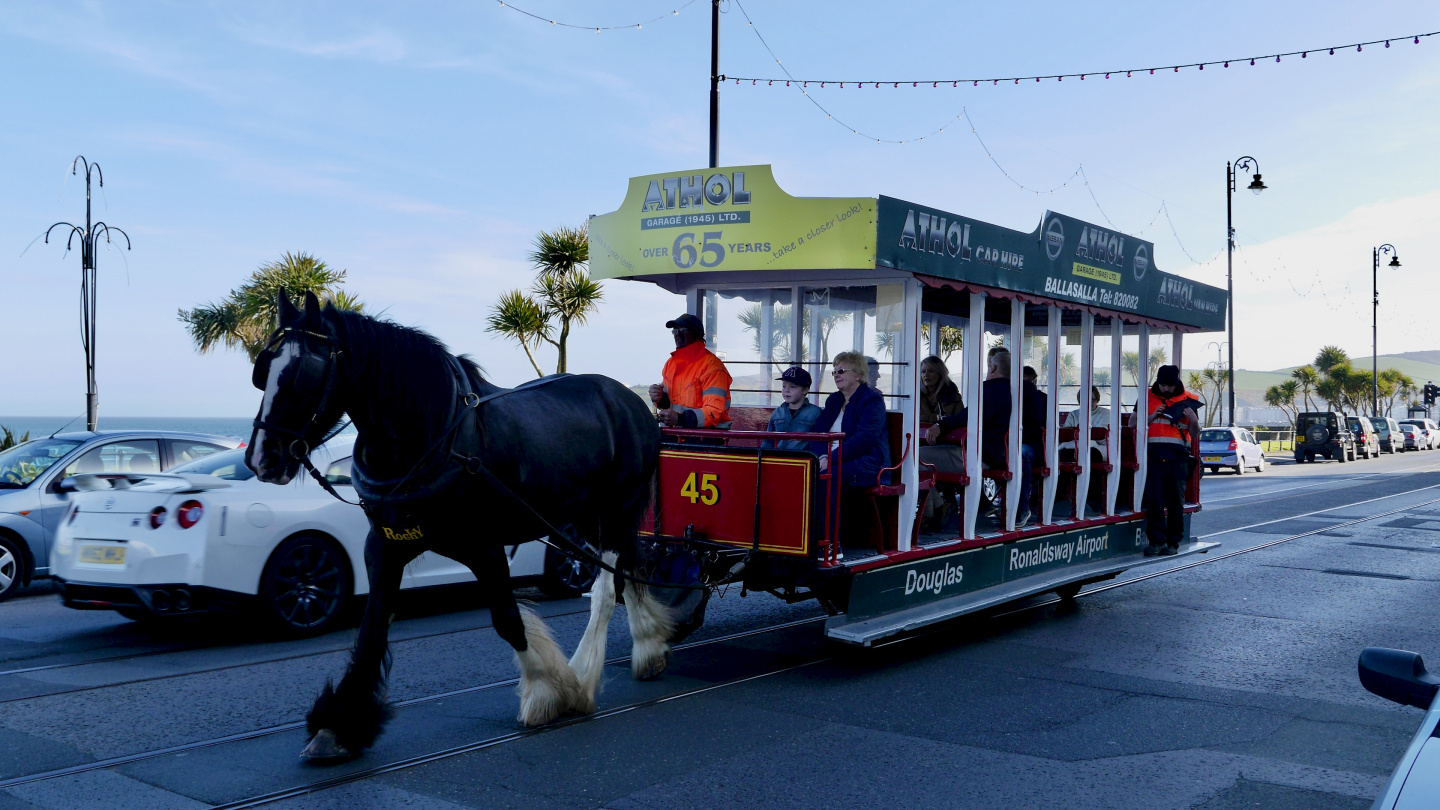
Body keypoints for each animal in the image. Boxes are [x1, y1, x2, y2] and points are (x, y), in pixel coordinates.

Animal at [249, 289, 673, 755]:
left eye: (301, 375)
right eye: (262, 372)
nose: (262, 458)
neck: (434, 438)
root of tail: (630, 399)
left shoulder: (484, 546)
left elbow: (507, 619)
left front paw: (550, 691)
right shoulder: (384, 547)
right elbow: (372, 628)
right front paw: (338, 726)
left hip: (615, 508)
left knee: (607, 588)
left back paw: (584, 673)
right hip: (579, 518)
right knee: (629, 569)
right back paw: (649, 647)